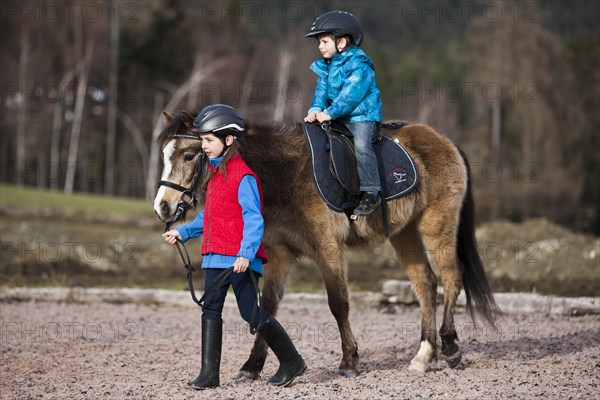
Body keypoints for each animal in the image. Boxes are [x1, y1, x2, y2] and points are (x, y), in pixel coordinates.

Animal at [152, 110, 500, 378]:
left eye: (188, 155)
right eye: (165, 156)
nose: (163, 207)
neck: (283, 175)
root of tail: (445, 141)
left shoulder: (327, 249)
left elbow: (338, 303)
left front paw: (349, 361)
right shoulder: (280, 254)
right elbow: (266, 307)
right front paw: (253, 365)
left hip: (436, 226)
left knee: (451, 278)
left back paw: (450, 347)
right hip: (404, 234)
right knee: (426, 284)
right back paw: (423, 356)